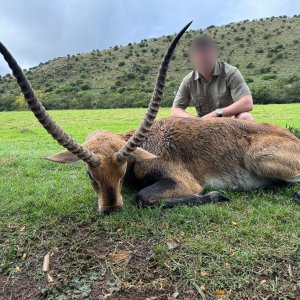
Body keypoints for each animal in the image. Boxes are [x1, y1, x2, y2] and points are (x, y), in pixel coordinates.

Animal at [0, 22, 300, 214]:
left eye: (122, 172)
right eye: (89, 174)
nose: (111, 208)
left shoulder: (183, 181)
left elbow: (144, 197)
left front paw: (214, 194)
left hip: (259, 158)